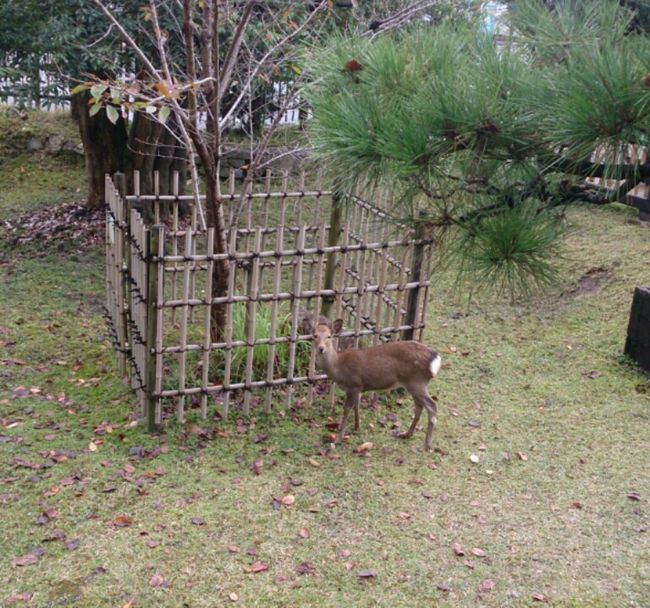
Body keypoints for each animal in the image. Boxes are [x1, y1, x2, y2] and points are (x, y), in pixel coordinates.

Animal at [307, 318, 442, 452]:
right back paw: (406, 434)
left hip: (417, 382)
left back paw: (427, 445)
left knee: (432, 406)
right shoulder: (359, 387)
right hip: (415, 384)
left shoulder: (353, 385)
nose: (321, 348)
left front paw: (338, 438)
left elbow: (346, 410)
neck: (338, 367)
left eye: (329, 336)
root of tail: (435, 359)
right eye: (315, 335)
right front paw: (357, 427)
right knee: (419, 406)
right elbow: (357, 406)